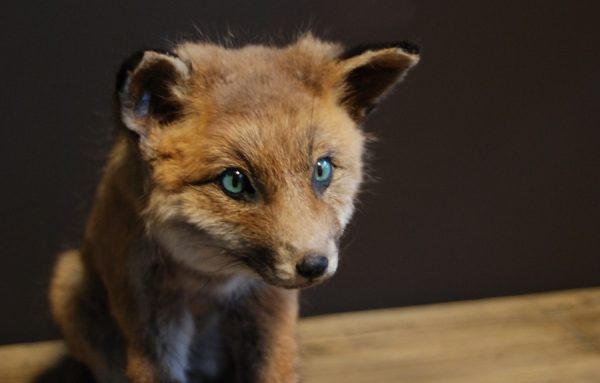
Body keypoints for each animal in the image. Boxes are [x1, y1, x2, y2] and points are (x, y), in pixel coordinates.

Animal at [49, 33, 420, 383]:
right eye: (235, 182)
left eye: (322, 170)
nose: (315, 265)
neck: (210, 281)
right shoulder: (150, 313)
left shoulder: (268, 305)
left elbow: (276, 369)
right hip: (69, 285)